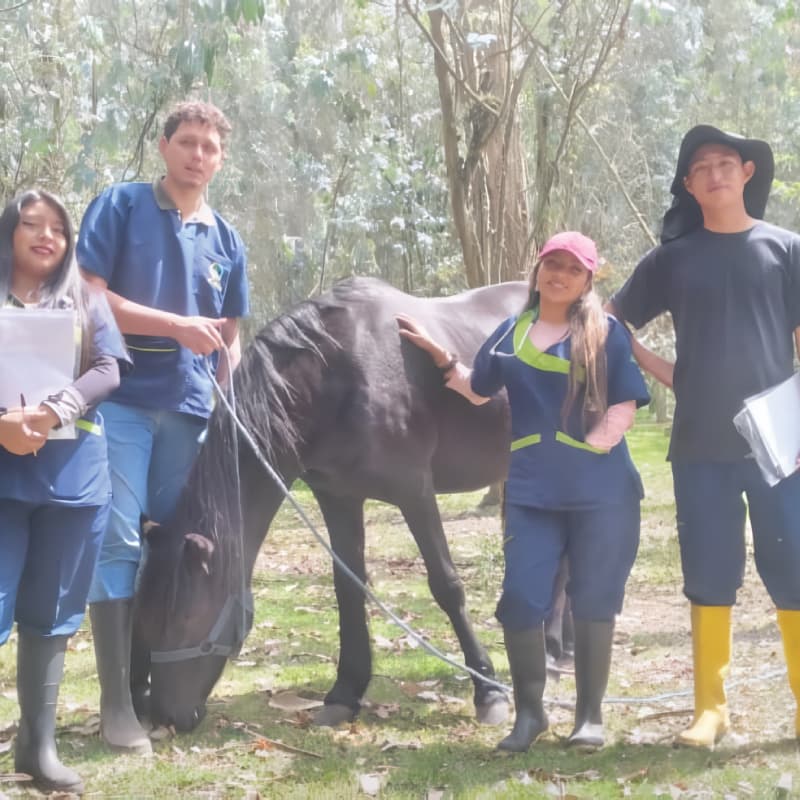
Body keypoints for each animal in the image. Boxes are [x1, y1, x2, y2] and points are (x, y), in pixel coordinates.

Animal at [138, 276, 564, 732]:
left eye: (183, 617)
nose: (164, 716)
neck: (334, 376)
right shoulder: (339, 497)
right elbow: (348, 588)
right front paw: (345, 692)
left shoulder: (415, 490)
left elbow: (446, 585)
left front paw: (487, 689)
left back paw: (553, 652)